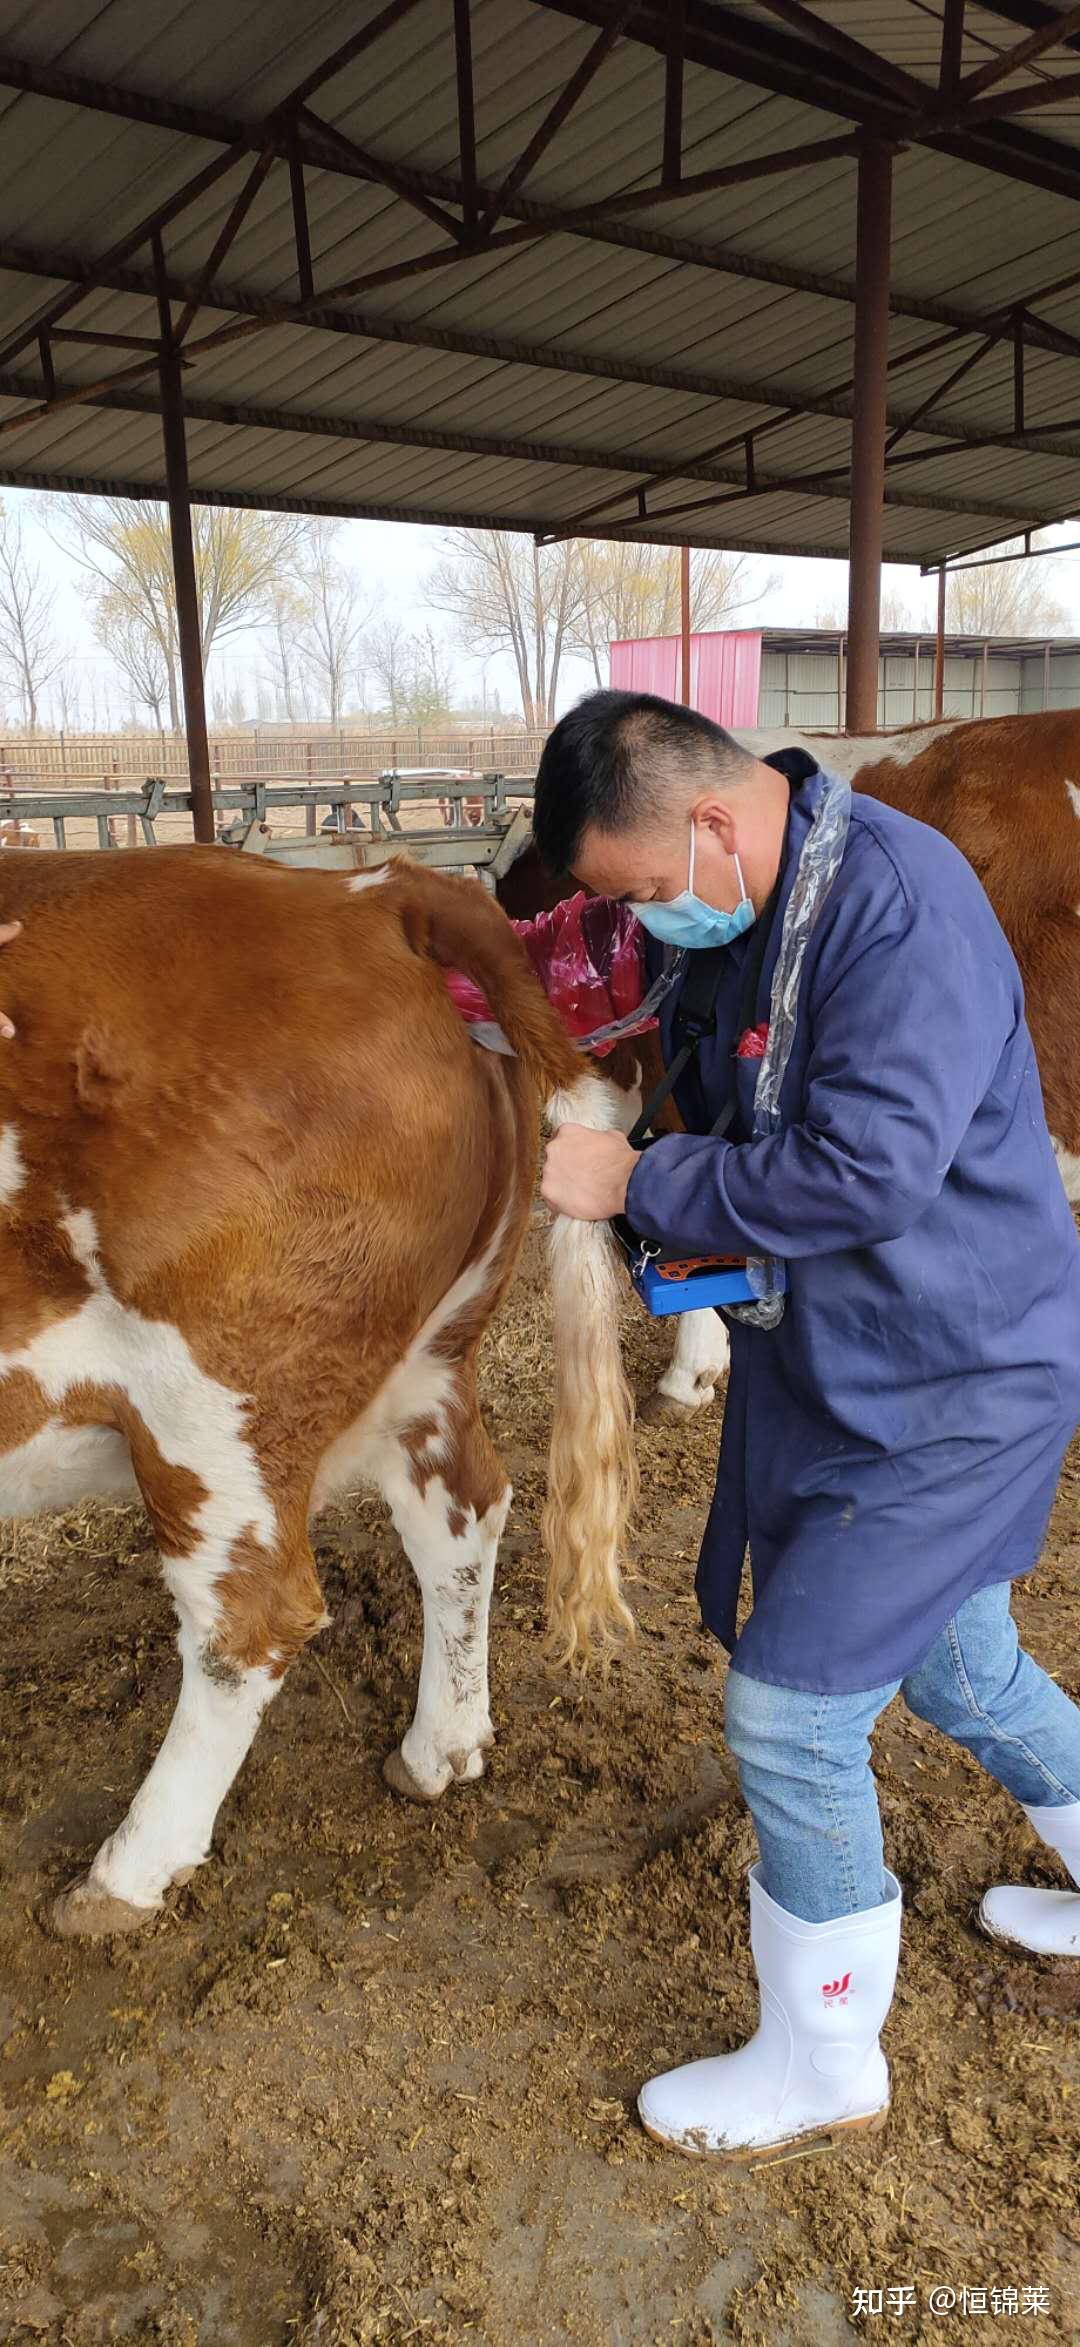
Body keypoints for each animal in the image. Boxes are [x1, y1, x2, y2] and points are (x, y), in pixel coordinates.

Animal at [0, 854, 638, 1933]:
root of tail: (372, 892)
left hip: (213, 1402)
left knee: (251, 1620)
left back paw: (125, 1874)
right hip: (431, 1358)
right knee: (461, 1510)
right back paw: (440, 1747)